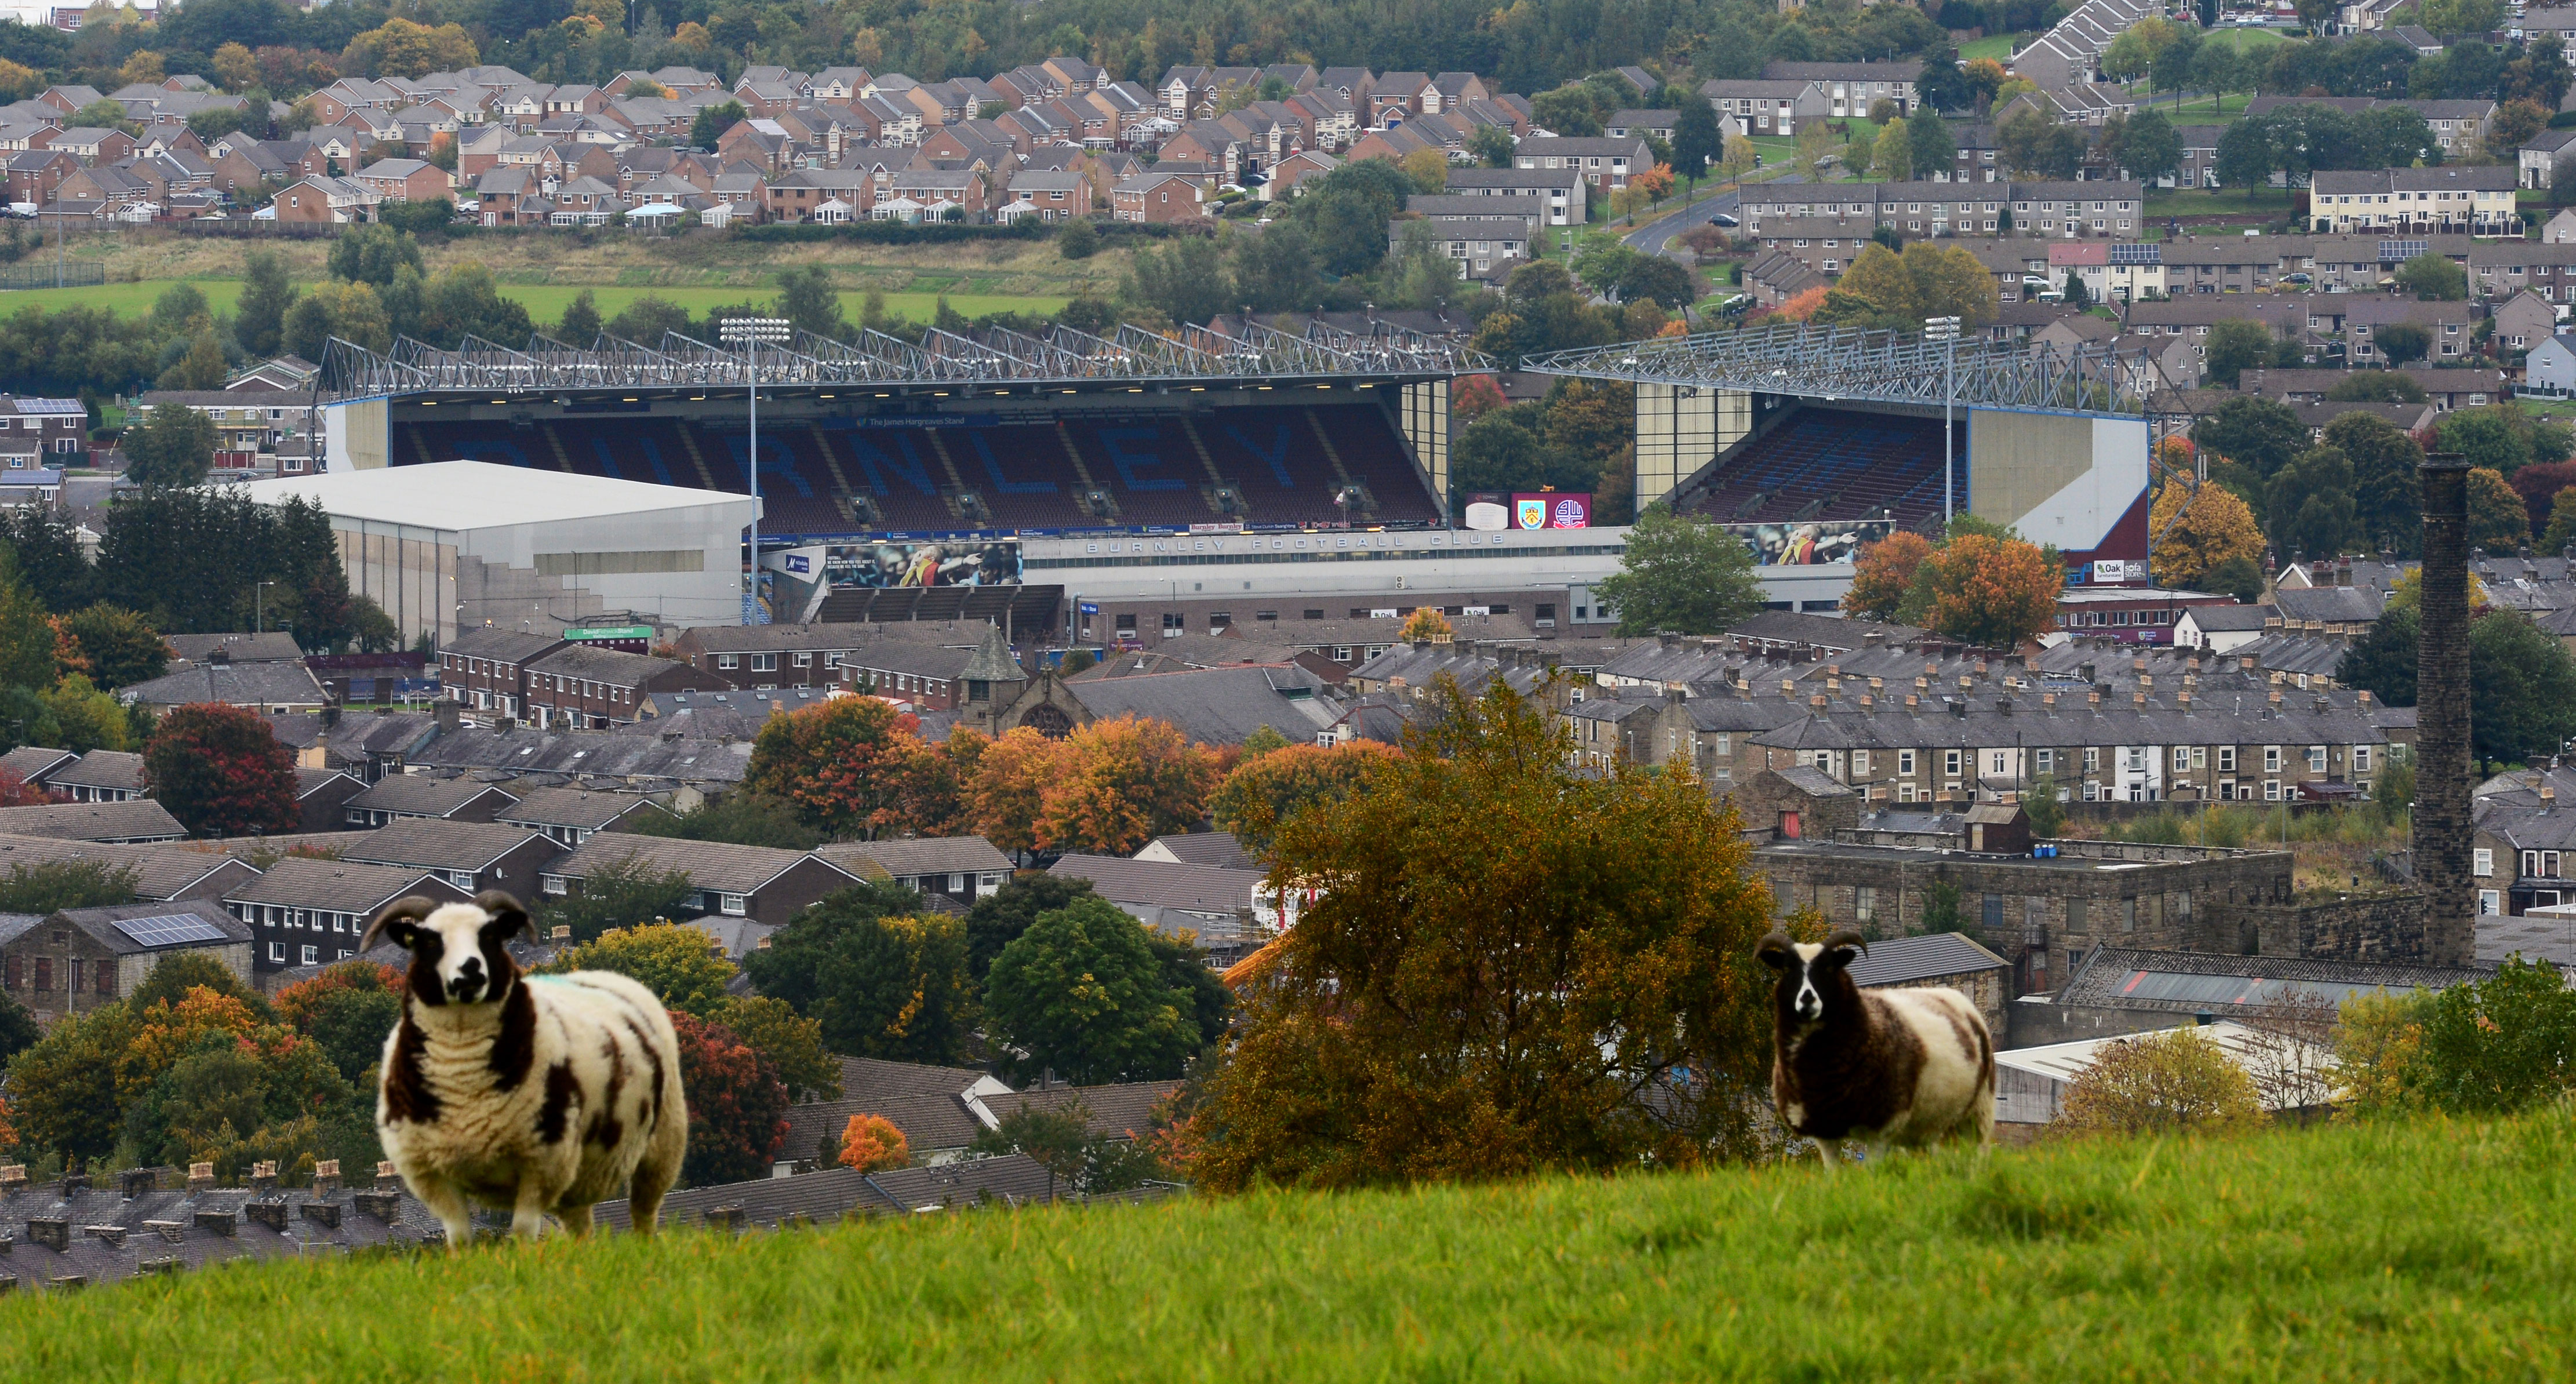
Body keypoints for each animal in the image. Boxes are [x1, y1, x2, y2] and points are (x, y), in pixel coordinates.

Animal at [363, 891, 690, 1247]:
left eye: (490, 936)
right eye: (430, 941)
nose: (471, 969)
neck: (464, 1078)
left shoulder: (542, 1164)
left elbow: (521, 1233)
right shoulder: (432, 1176)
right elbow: (460, 1239)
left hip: (662, 1145)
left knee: (644, 1212)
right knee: (580, 1225)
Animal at [1751, 927, 1988, 1165]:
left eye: (1829, 967)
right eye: (1787, 968)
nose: (1807, 999)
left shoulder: (1879, 1128)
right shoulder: (1822, 1129)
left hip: (1978, 1112)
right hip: (1925, 1125)